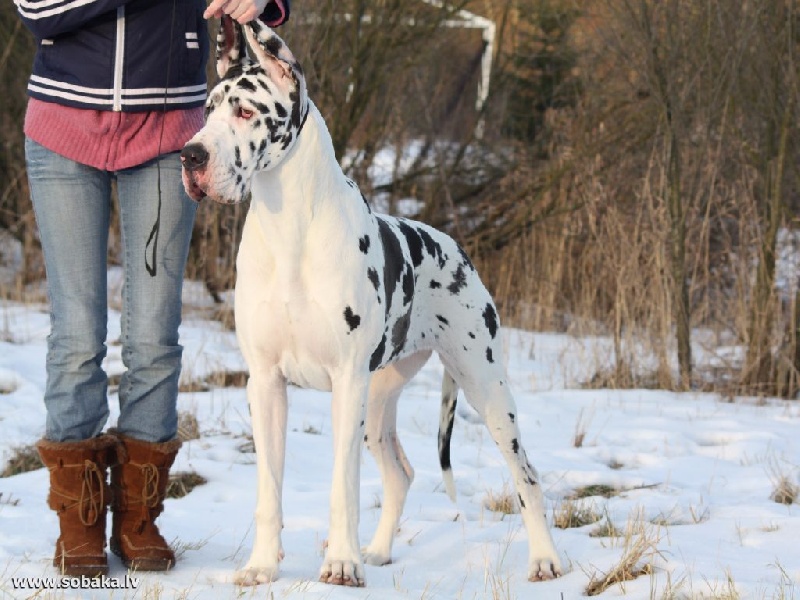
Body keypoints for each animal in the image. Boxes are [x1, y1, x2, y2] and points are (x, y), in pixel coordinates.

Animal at [181, 16, 563, 587]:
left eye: (245, 111)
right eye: (207, 110)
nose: (190, 156)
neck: (289, 229)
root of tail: (455, 247)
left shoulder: (344, 383)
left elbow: (343, 487)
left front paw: (341, 563)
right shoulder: (265, 384)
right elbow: (269, 488)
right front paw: (262, 565)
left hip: (483, 385)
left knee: (528, 476)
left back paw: (544, 560)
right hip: (379, 401)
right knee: (401, 473)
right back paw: (380, 551)